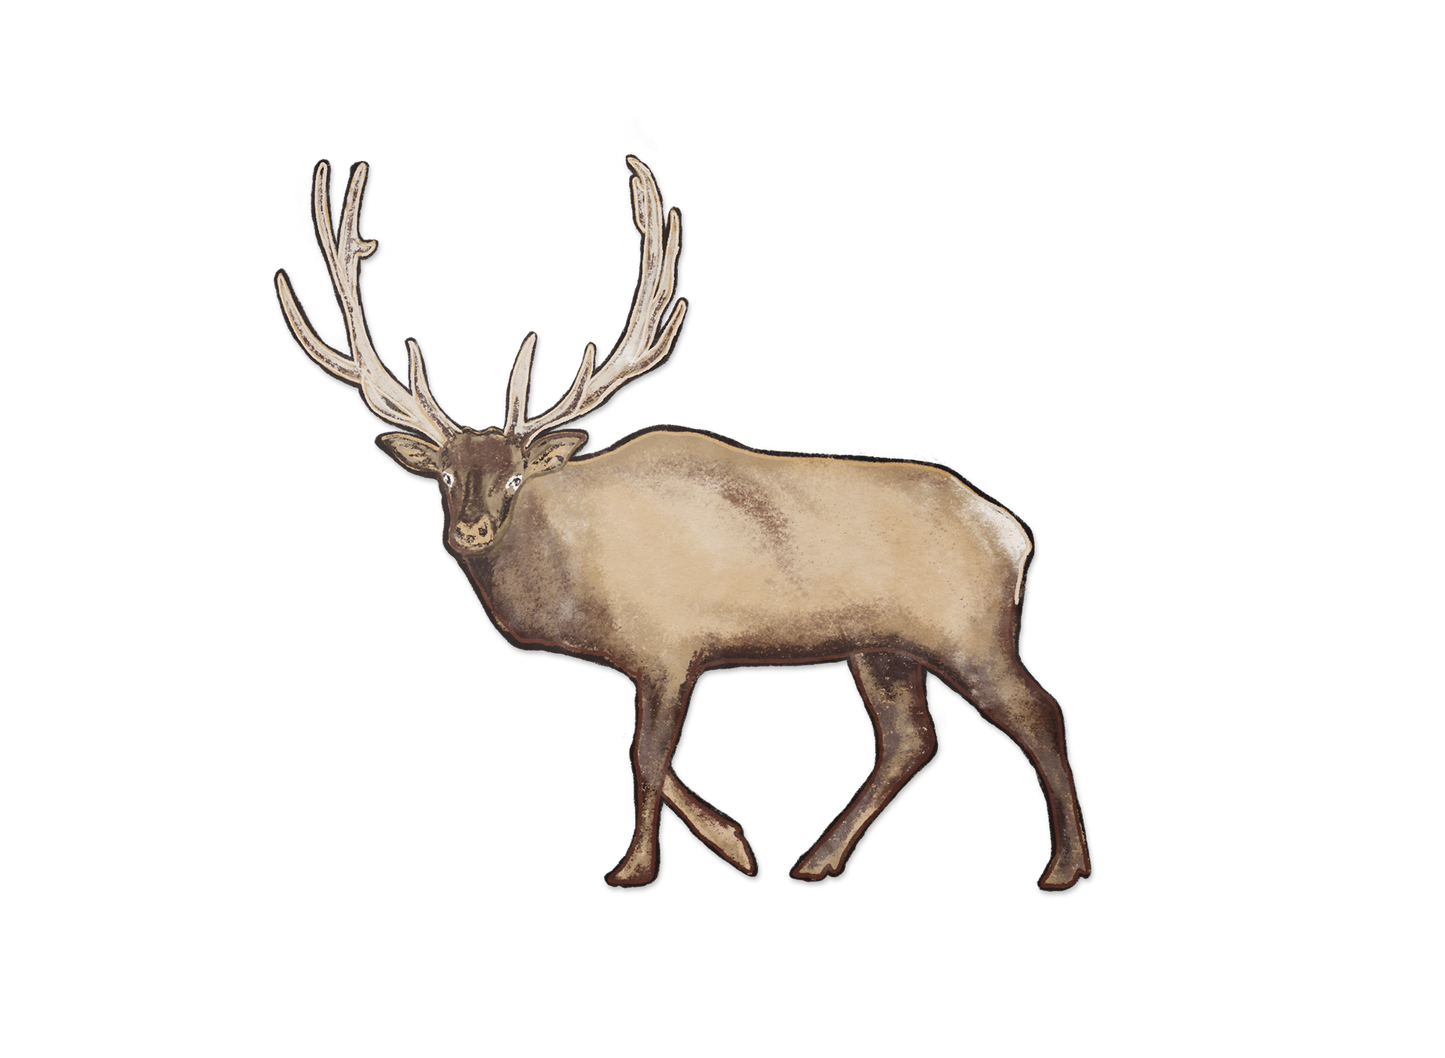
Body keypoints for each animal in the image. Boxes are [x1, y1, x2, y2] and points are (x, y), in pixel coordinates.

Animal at [271, 153, 1093, 895]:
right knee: (910, 740)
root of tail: (1012, 530)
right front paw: (735, 843)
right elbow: (653, 755)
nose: (468, 532)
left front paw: (635, 870)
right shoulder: (656, 655)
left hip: (970, 631)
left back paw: (1064, 869)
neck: (567, 581)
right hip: (881, 645)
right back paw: (816, 860)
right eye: (444, 475)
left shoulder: (668, 642)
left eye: (515, 475)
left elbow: (646, 756)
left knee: (1039, 713)